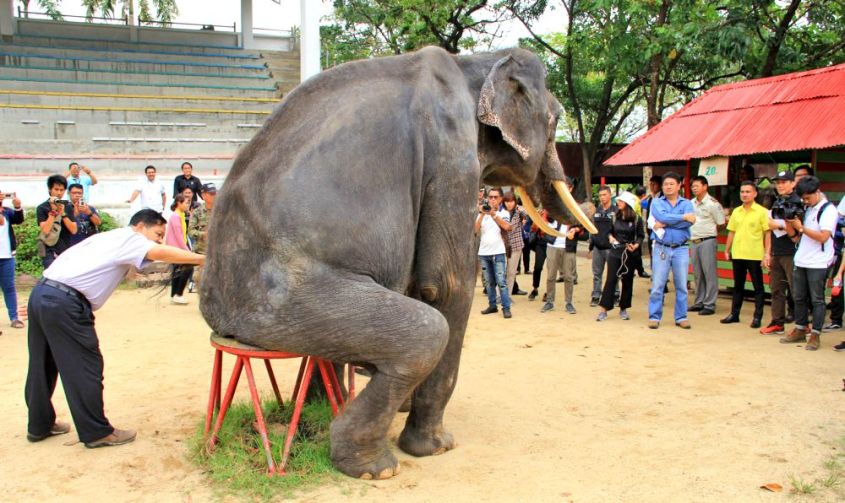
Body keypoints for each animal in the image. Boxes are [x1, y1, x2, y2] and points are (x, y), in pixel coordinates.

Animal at [200, 46, 596, 479]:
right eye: (556, 120)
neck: (473, 63)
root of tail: (218, 316)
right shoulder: (452, 158)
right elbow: (447, 284)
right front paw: (436, 447)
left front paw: (408, 413)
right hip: (283, 301)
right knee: (425, 334)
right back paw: (374, 466)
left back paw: (322, 412)